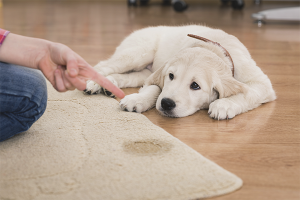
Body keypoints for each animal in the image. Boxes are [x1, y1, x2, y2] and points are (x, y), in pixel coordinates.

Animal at [84, 24, 276, 119]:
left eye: (195, 86)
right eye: (171, 76)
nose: (167, 104)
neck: (213, 48)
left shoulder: (262, 84)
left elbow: (247, 93)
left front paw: (224, 105)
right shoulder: (159, 75)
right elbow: (155, 89)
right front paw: (138, 99)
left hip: (144, 69)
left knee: (129, 77)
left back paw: (110, 85)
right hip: (137, 53)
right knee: (103, 65)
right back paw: (94, 83)